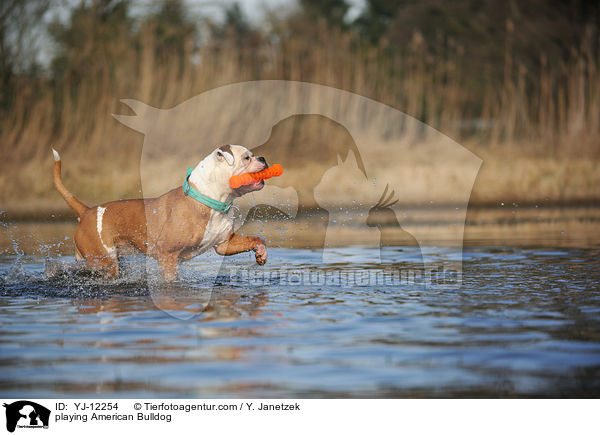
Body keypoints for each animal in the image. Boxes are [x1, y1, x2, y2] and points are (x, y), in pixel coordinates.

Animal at [52, 146, 268, 282]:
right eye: (246, 158)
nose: (263, 158)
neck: (209, 200)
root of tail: (87, 211)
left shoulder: (224, 244)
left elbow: (256, 240)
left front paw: (261, 253)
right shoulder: (168, 256)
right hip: (104, 262)